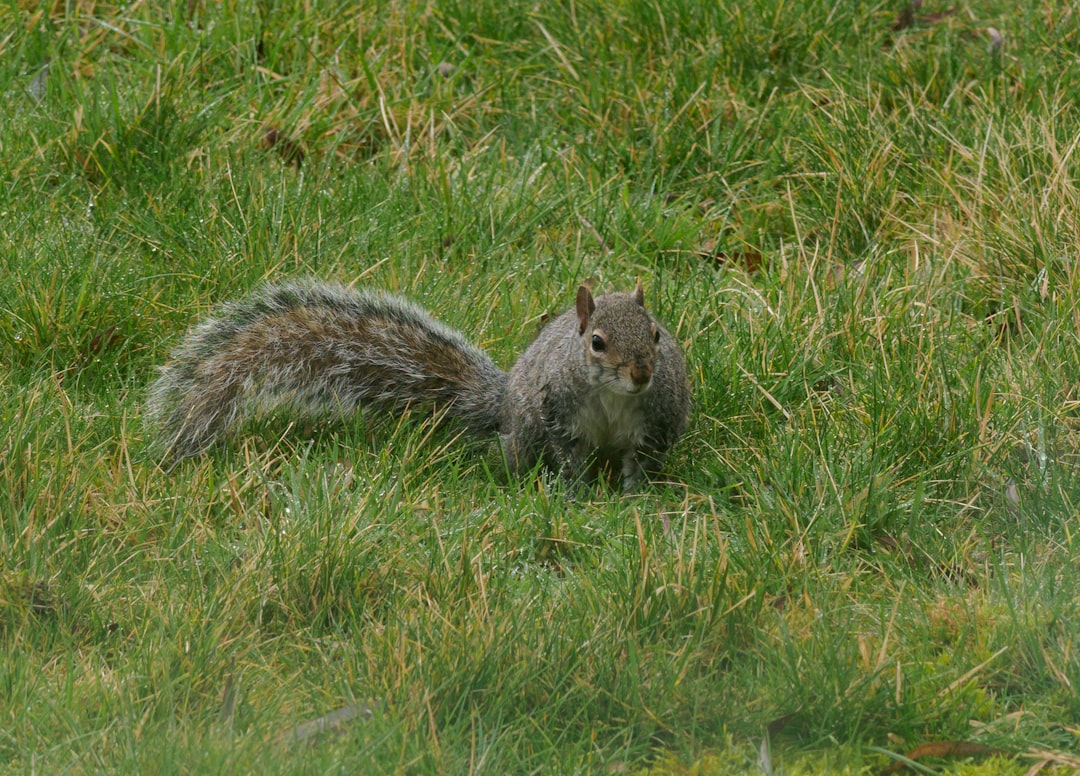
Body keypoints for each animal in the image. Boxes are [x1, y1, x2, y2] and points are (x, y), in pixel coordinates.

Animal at [145, 278, 691, 492]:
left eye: (656, 333)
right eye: (596, 342)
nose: (642, 373)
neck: (612, 397)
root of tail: (502, 402)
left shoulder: (657, 418)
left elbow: (644, 459)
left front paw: (635, 496)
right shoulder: (556, 409)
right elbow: (569, 454)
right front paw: (577, 492)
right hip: (524, 430)